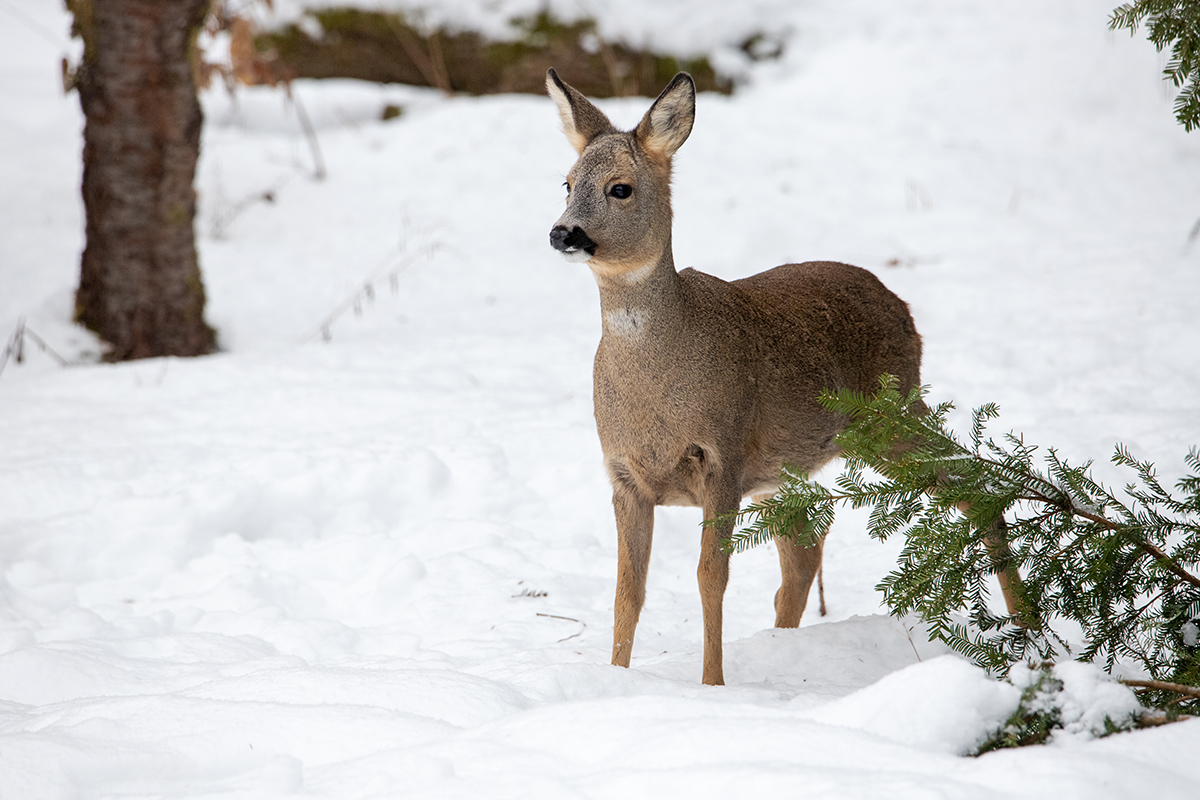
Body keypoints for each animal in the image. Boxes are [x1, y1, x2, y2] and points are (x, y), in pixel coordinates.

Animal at [549, 67, 921, 690]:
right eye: (566, 182)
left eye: (620, 188)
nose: (562, 233)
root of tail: (903, 306)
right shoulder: (623, 474)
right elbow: (628, 591)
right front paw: (617, 679)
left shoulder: (721, 453)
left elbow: (710, 578)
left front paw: (713, 686)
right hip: (788, 467)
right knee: (805, 538)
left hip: (896, 417)